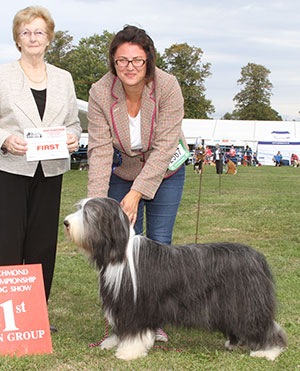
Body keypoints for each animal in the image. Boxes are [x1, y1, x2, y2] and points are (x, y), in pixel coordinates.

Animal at [64, 199, 288, 362]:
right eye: (81, 208)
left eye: (89, 213)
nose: (65, 222)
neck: (118, 254)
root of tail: (257, 257)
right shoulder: (122, 305)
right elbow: (122, 329)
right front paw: (112, 342)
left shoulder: (136, 306)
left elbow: (134, 332)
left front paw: (128, 352)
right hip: (230, 304)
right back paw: (234, 343)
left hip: (246, 302)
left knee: (265, 326)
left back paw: (268, 351)